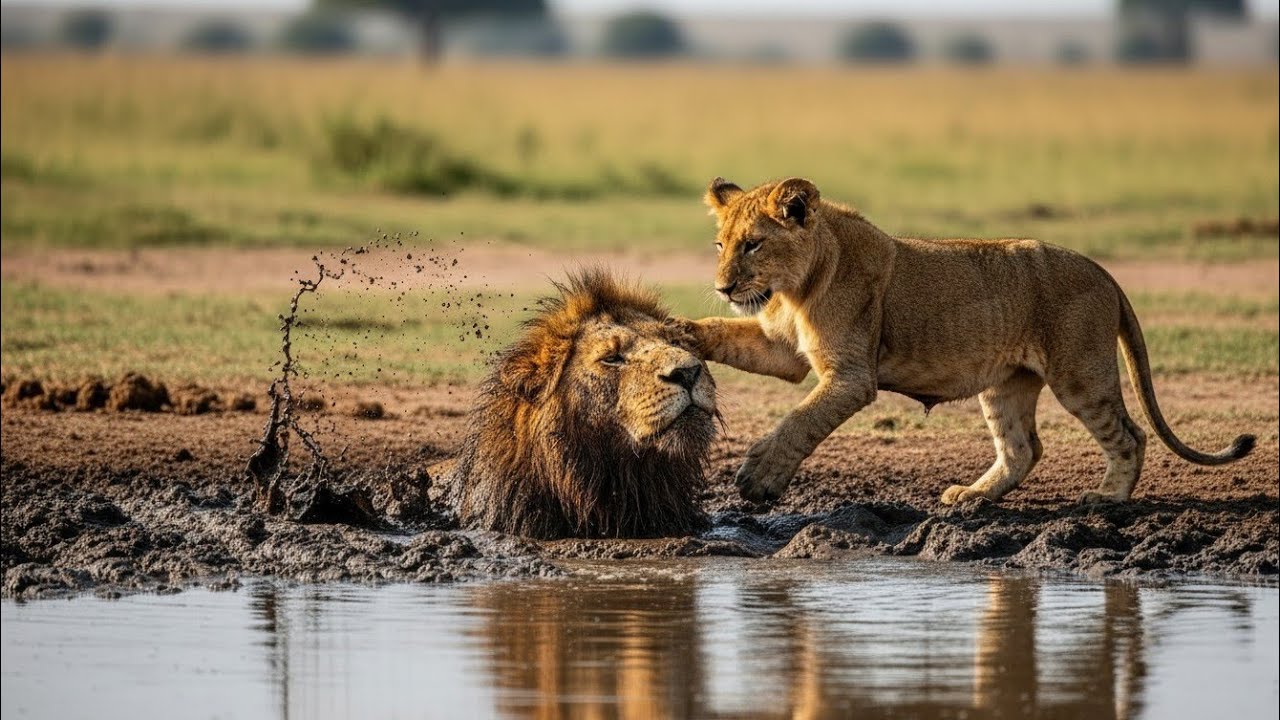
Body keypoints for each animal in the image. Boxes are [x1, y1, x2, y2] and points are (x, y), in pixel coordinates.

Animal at [691, 176, 1255, 505]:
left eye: (753, 245)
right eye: (720, 245)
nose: (722, 287)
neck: (795, 289)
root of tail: (1104, 272)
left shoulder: (851, 376)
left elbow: (800, 421)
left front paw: (760, 477)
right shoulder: (782, 348)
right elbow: (720, 335)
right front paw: (676, 329)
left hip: (1079, 374)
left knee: (1130, 434)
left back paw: (1108, 498)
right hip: (1006, 383)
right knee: (1023, 448)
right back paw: (973, 496)